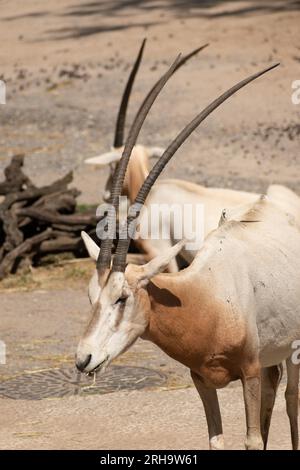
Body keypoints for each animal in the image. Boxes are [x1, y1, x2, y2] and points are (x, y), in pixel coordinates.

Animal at [76, 60, 298, 450]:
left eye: (121, 298)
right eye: (91, 297)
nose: (83, 359)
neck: (206, 298)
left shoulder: (249, 372)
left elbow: (252, 440)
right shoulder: (202, 381)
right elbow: (216, 440)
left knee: (291, 399)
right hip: (273, 357)